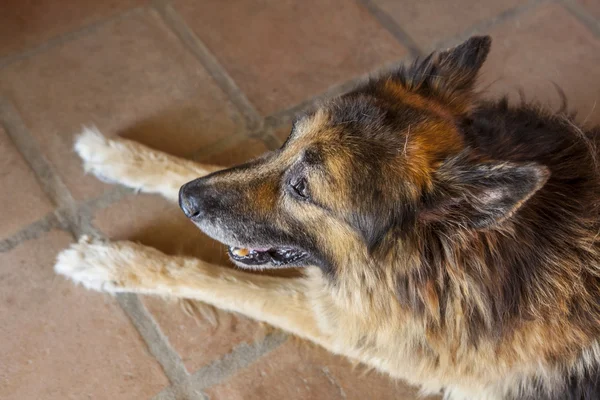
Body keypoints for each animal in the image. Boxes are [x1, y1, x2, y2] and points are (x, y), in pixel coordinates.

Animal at [52, 36, 600, 398]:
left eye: (301, 189)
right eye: (287, 139)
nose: (187, 202)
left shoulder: (341, 321)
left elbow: (213, 278)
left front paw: (111, 263)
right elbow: (190, 167)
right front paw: (118, 156)